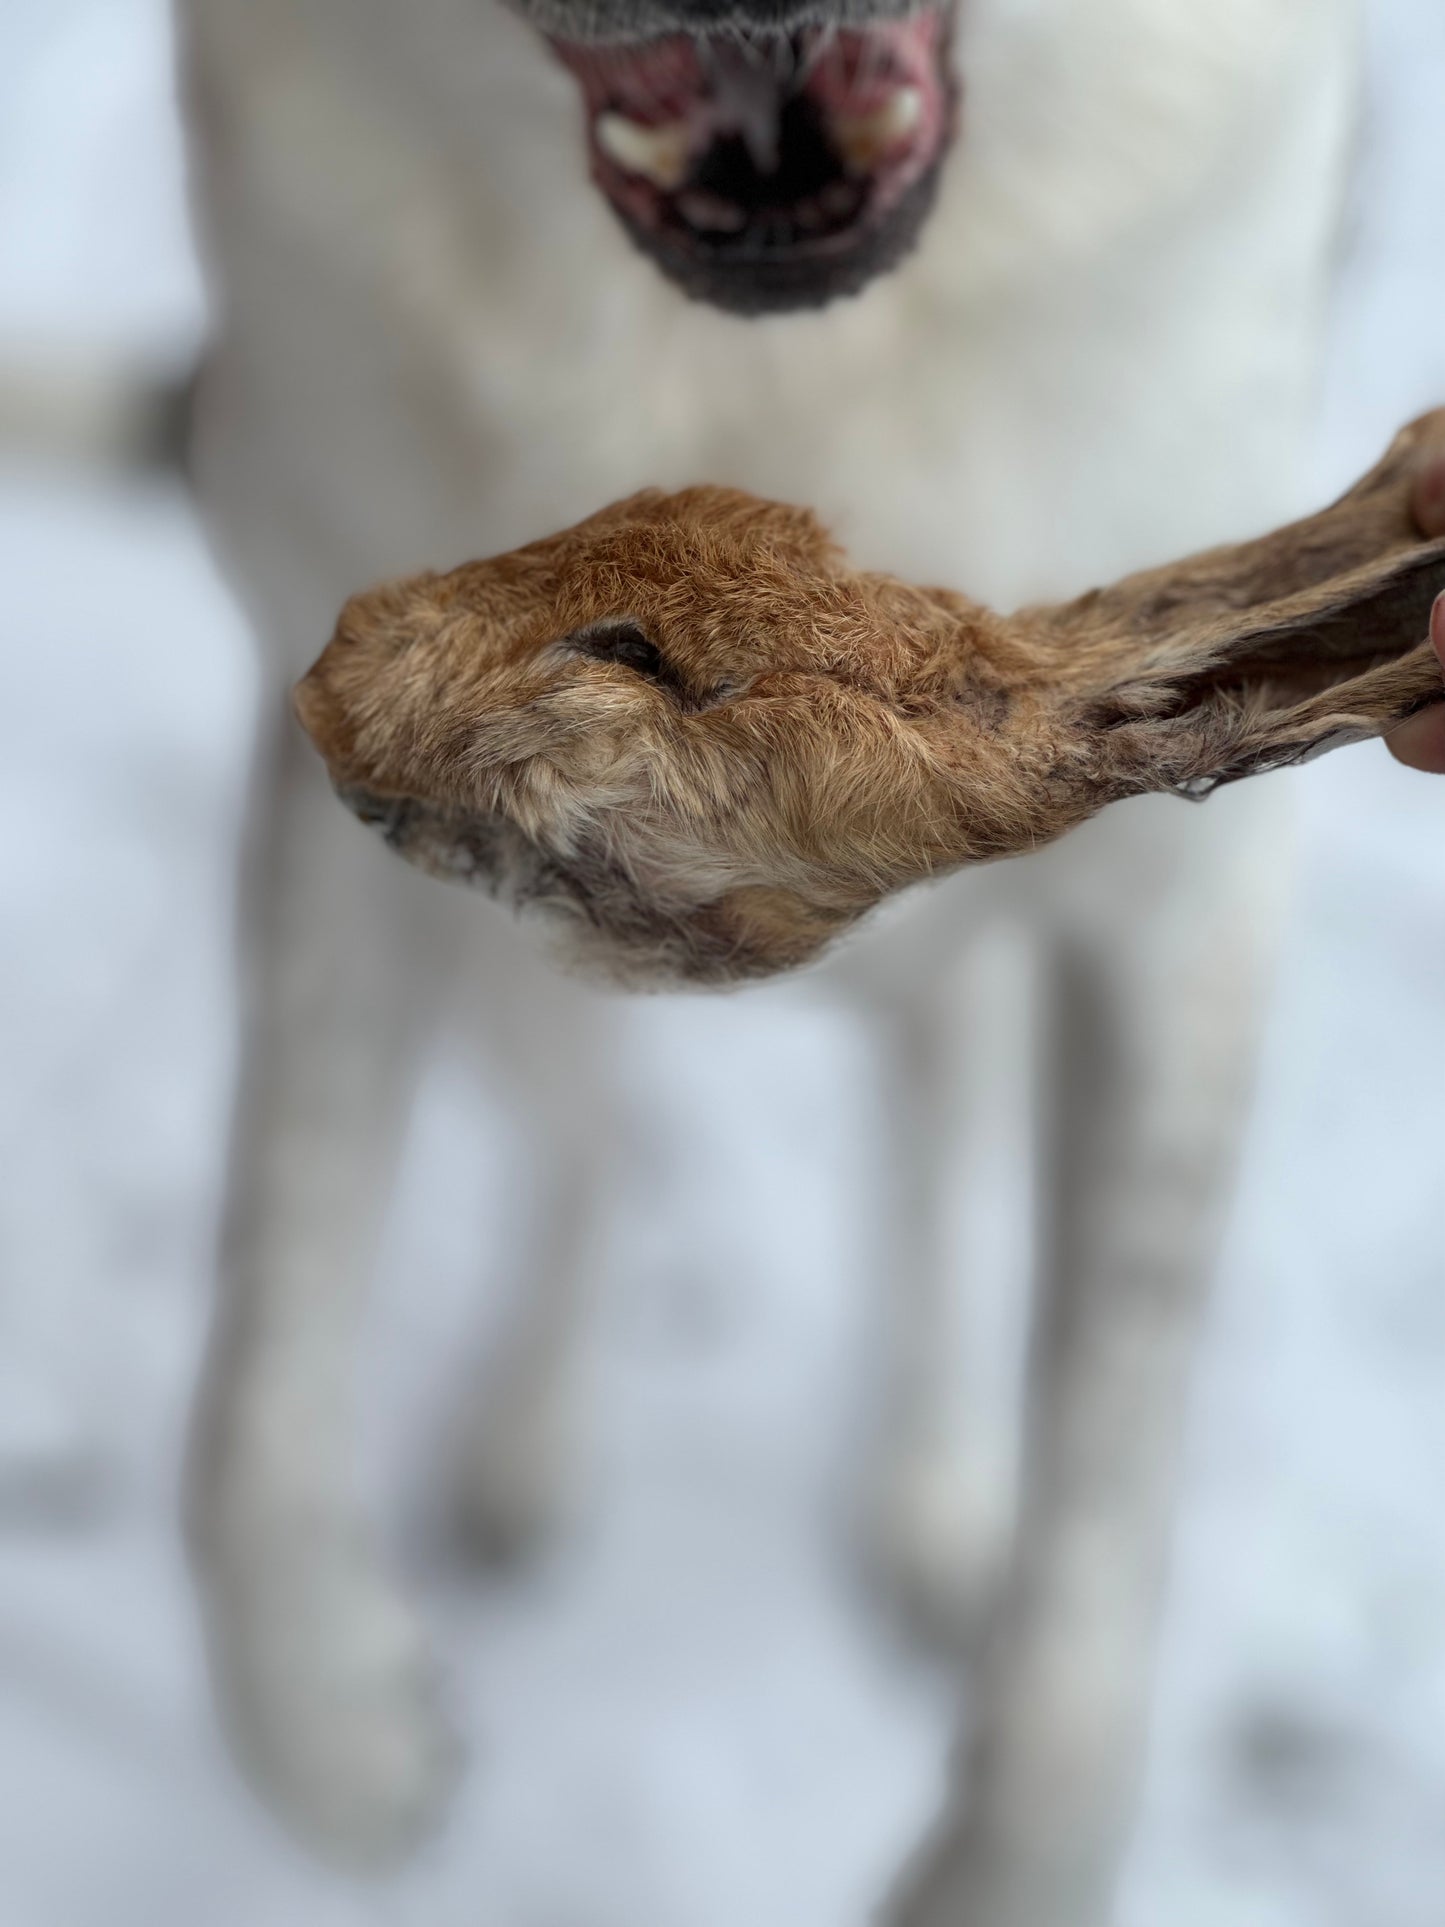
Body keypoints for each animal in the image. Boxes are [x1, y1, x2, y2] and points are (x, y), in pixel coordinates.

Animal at [178, 7, 1356, 1919]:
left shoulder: (1183, 896)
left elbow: (1105, 1487)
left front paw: (997, 1871)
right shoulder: (347, 787)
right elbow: (254, 1364)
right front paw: (343, 1735)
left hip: (967, 992)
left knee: (929, 1190)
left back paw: (930, 1506)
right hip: (507, 974)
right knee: (583, 1156)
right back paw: (525, 1452)